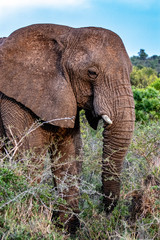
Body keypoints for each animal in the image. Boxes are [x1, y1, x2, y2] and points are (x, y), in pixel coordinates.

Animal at [0, 23, 135, 232]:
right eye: (92, 73)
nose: (105, 210)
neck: (67, 33)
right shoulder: (14, 101)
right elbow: (30, 156)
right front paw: (29, 221)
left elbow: (69, 156)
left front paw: (68, 229)